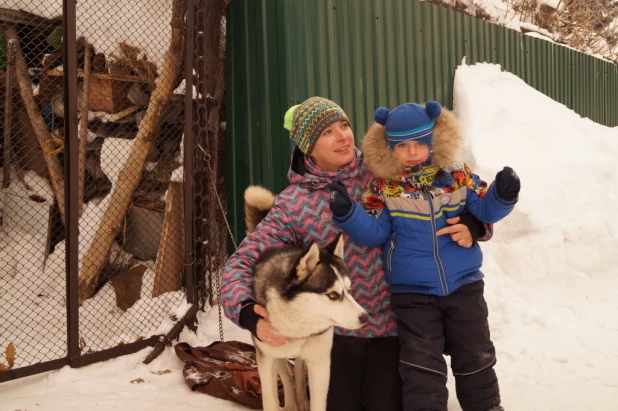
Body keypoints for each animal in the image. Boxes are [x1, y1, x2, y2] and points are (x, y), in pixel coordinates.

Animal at [242, 186, 366, 411]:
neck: (298, 325)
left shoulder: (321, 364)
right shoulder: (266, 357)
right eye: (333, 295)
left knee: (298, 370)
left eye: (349, 289)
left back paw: (300, 399)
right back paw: (292, 402)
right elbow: (271, 399)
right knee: (286, 373)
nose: (365, 317)